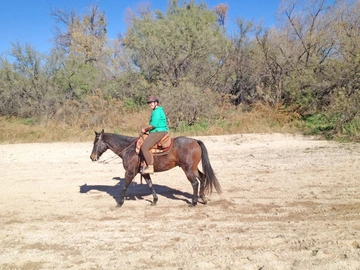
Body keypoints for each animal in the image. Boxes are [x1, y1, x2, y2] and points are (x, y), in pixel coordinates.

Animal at [90, 129, 219, 207]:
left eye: (95, 143)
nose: (92, 157)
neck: (128, 149)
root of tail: (195, 141)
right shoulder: (144, 172)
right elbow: (150, 185)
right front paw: (154, 201)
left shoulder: (129, 172)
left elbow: (124, 187)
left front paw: (119, 203)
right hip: (193, 168)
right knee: (203, 177)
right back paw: (203, 198)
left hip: (188, 169)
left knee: (195, 183)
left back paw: (194, 202)